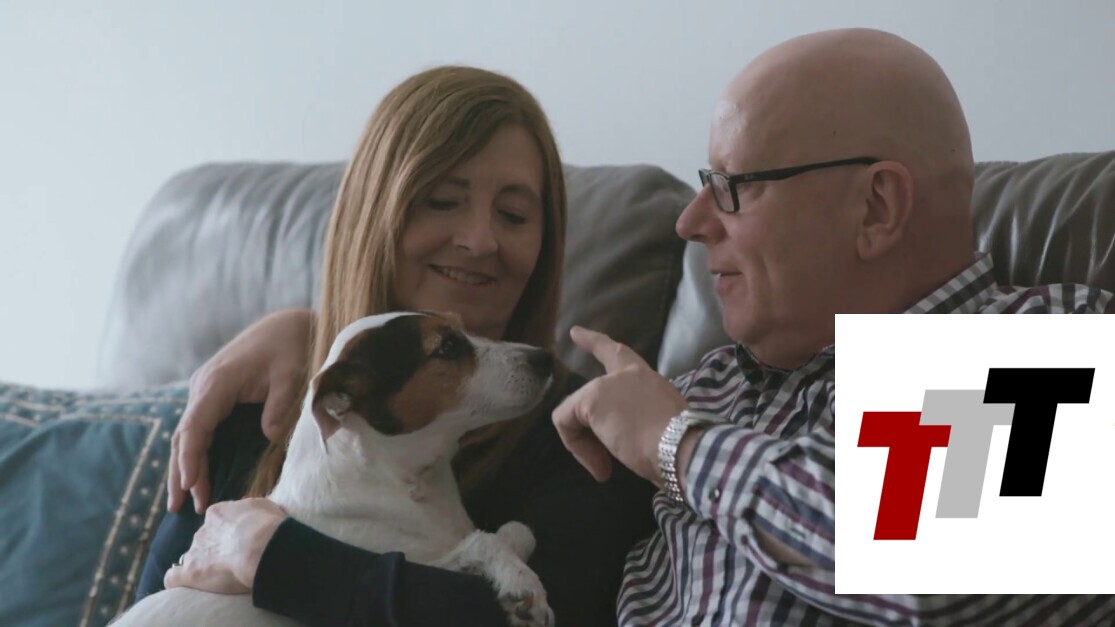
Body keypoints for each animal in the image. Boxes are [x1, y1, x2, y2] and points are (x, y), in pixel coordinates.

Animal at [114, 311, 556, 626]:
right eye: (447, 347)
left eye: (466, 329)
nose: (547, 358)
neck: (411, 485)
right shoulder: (421, 560)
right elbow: (482, 543)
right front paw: (523, 585)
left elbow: (516, 531)